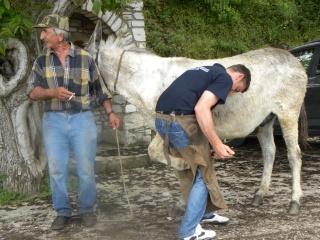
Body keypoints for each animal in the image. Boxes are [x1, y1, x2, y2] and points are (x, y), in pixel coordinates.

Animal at [87, 22, 308, 214]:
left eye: (85, 64)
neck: (147, 80)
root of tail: (294, 60)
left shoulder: (168, 128)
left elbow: (158, 154)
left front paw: (186, 179)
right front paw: (183, 202)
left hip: (287, 115)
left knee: (294, 155)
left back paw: (294, 202)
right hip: (265, 121)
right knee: (269, 153)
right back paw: (259, 195)